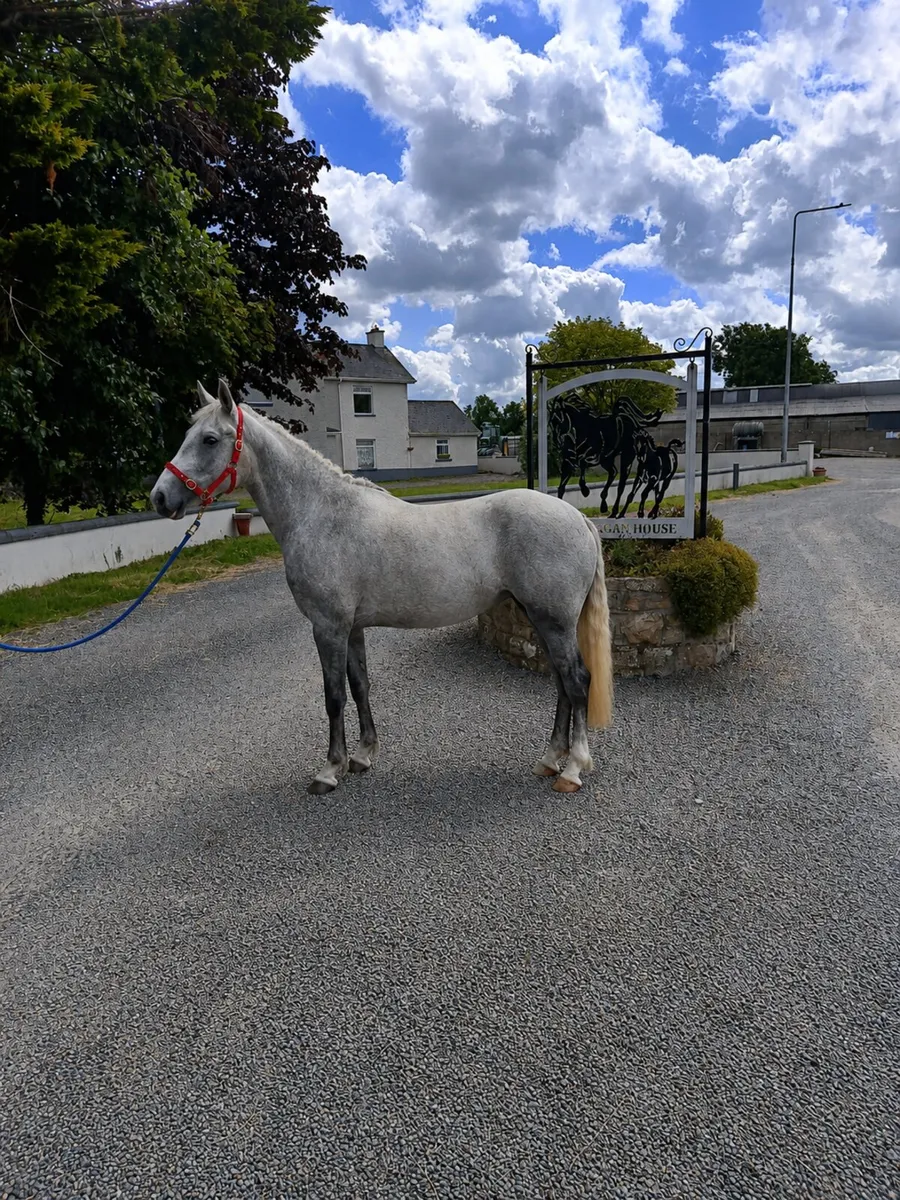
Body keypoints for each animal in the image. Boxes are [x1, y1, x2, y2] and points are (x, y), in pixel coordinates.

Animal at [151, 380, 614, 795]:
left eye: (210, 439)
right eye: (188, 435)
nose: (159, 497)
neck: (322, 514)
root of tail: (577, 517)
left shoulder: (328, 627)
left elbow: (333, 695)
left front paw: (329, 771)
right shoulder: (352, 627)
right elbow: (360, 686)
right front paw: (362, 756)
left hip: (553, 620)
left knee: (577, 681)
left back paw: (572, 769)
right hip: (539, 618)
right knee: (562, 683)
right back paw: (549, 760)